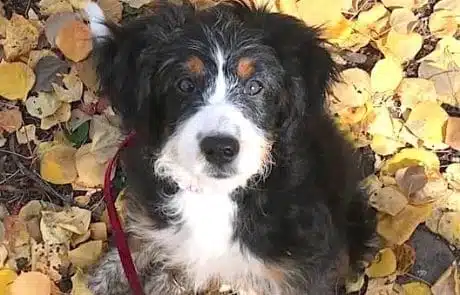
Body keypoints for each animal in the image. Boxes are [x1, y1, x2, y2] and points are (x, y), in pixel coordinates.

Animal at [85, 1, 378, 294]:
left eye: (255, 86)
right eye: (184, 84)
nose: (220, 149)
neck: (215, 195)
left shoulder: (303, 271)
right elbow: (139, 241)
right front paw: (107, 276)